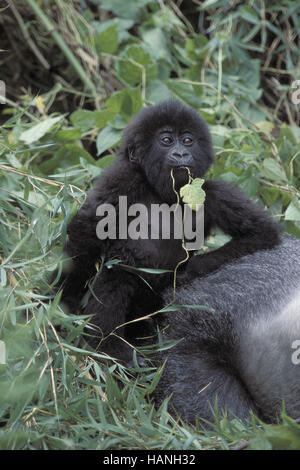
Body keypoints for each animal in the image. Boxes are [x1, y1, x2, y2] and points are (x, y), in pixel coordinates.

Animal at [56, 99, 282, 364]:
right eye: (166, 140)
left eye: (187, 140)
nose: (181, 153)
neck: (163, 193)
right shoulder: (123, 179)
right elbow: (87, 231)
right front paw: (62, 301)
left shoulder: (213, 192)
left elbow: (261, 233)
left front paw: (187, 271)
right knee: (116, 274)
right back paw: (109, 345)